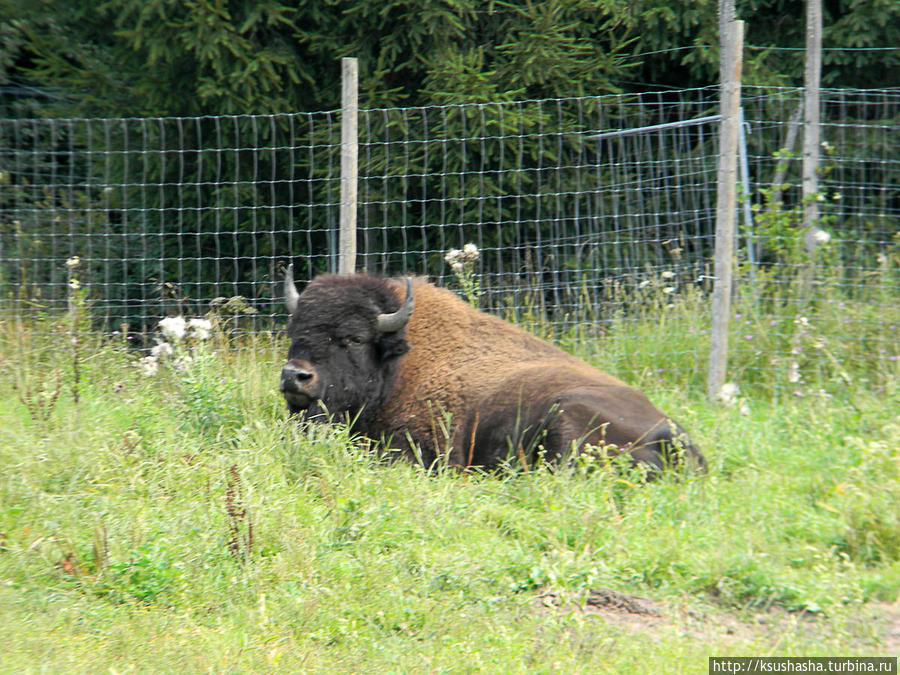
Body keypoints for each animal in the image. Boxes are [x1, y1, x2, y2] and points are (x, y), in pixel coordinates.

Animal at [280, 266, 704, 472]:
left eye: (352, 338)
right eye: (294, 332)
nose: (294, 376)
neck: (399, 365)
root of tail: (674, 436)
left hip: (565, 414)